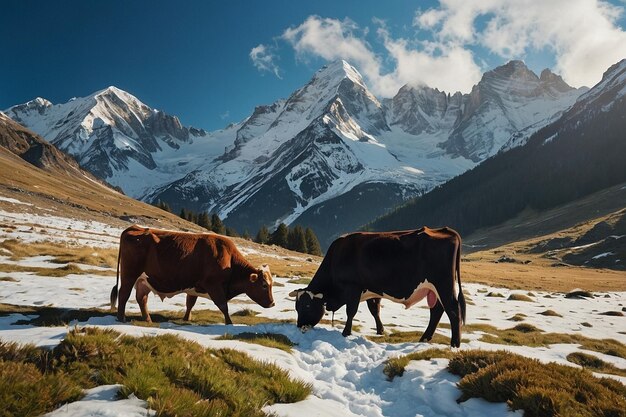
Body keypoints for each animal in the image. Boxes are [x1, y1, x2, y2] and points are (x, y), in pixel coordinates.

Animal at [109, 224, 272, 322]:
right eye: (264, 285)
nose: (272, 303)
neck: (229, 259)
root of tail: (134, 227)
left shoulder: (194, 287)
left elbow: (190, 303)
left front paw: (187, 318)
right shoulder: (213, 285)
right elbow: (223, 306)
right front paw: (229, 323)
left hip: (143, 280)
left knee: (141, 298)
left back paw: (148, 319)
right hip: (129, 275)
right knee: (123, 295)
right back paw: (121, 318)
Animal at [288, 226, 464, 346]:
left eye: (307, 306)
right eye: (296, 307)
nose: (299, 326)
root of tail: (445, 230)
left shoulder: (353, 287)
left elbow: (351, 311)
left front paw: (346, 332)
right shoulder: (371, 290)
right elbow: (374, 310)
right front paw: (380, 330)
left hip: (443, 285)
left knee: (453, 310)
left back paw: (455, 343)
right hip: (433, 289)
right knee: (437, 311)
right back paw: (425, 338)